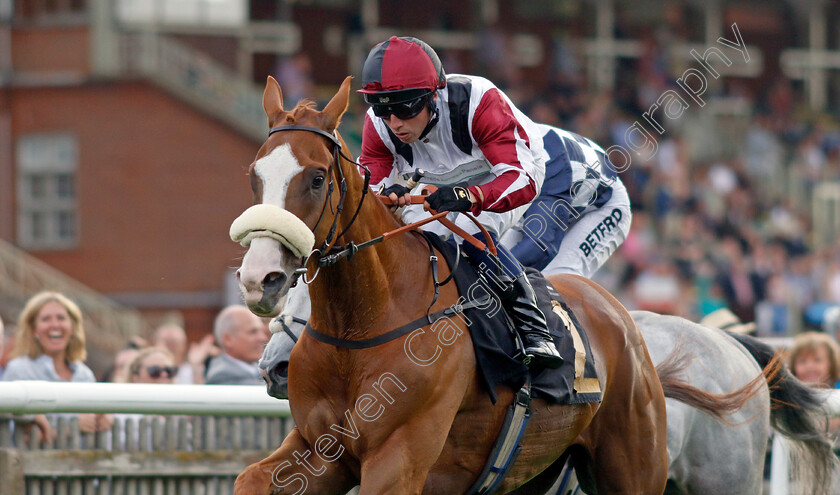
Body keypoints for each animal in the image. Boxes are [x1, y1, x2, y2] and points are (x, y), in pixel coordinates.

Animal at [231, 75, 668, 494]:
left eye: (317, 178)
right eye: (253, 175)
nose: (259, 279)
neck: (358, 330)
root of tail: (618, 313)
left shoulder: (398, 460)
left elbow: (515, 175)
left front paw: (450, 196)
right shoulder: (320, 449)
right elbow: (249, 479)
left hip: (633, 464)